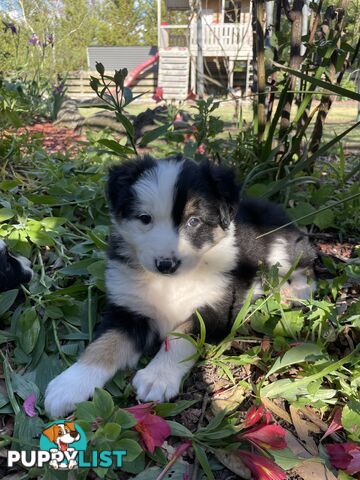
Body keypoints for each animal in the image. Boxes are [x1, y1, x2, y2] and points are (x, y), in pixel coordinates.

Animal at [44, 157, 316, 416]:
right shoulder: (128, 309)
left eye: (194, 221)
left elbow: (180, 337)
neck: (169, 283)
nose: (166, 264)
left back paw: (296, 292)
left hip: (283, 247)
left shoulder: (214, 307)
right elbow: (103, 344)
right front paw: (69, 385)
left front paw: (157, 377)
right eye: (145, 218)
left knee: (305, 264)